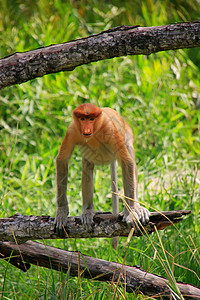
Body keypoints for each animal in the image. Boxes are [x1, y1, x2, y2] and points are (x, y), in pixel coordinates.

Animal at [55, 103, 150, 248]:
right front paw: (61, 212)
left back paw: (134, 208)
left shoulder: (110, 130)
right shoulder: (72, 131)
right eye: (83, 119)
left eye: (91, 119)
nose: (87, 129)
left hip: (127, 138)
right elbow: (62, 160)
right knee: (87, 167)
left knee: (130, 157)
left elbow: (127, 162)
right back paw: (88, 211)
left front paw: (131, 212)